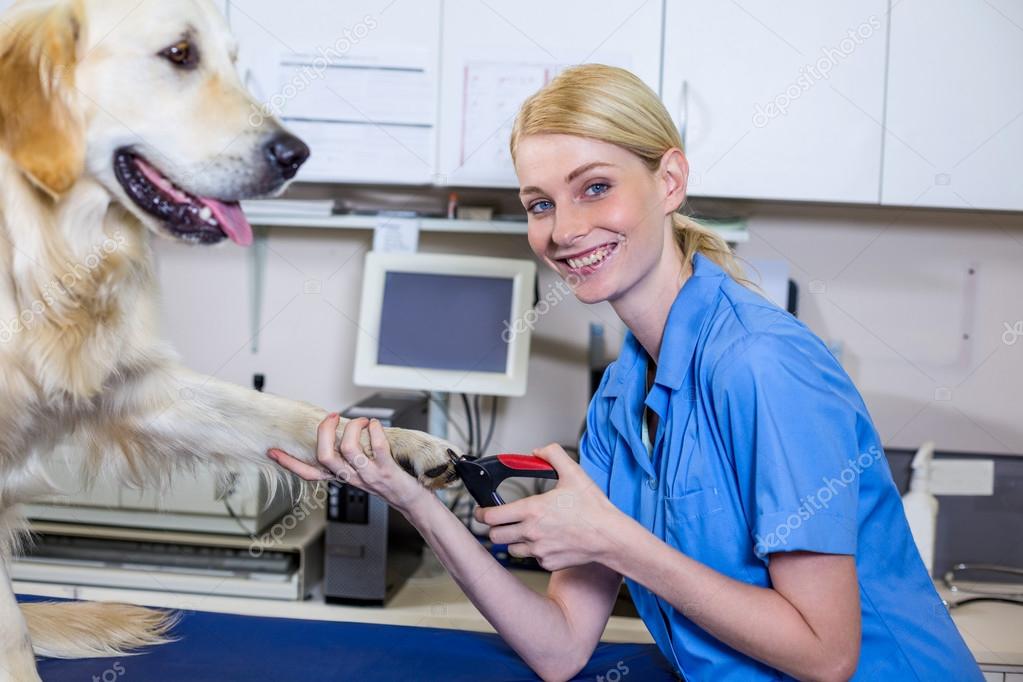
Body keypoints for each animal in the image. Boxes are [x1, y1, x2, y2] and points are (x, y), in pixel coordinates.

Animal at [0, 0, 456, 678]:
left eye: (235, 62)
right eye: (179, 53)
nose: (298, 155)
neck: (41, 243)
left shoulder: (140, 391)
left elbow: (290, 413)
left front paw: (395, 444)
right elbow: (12, 635)